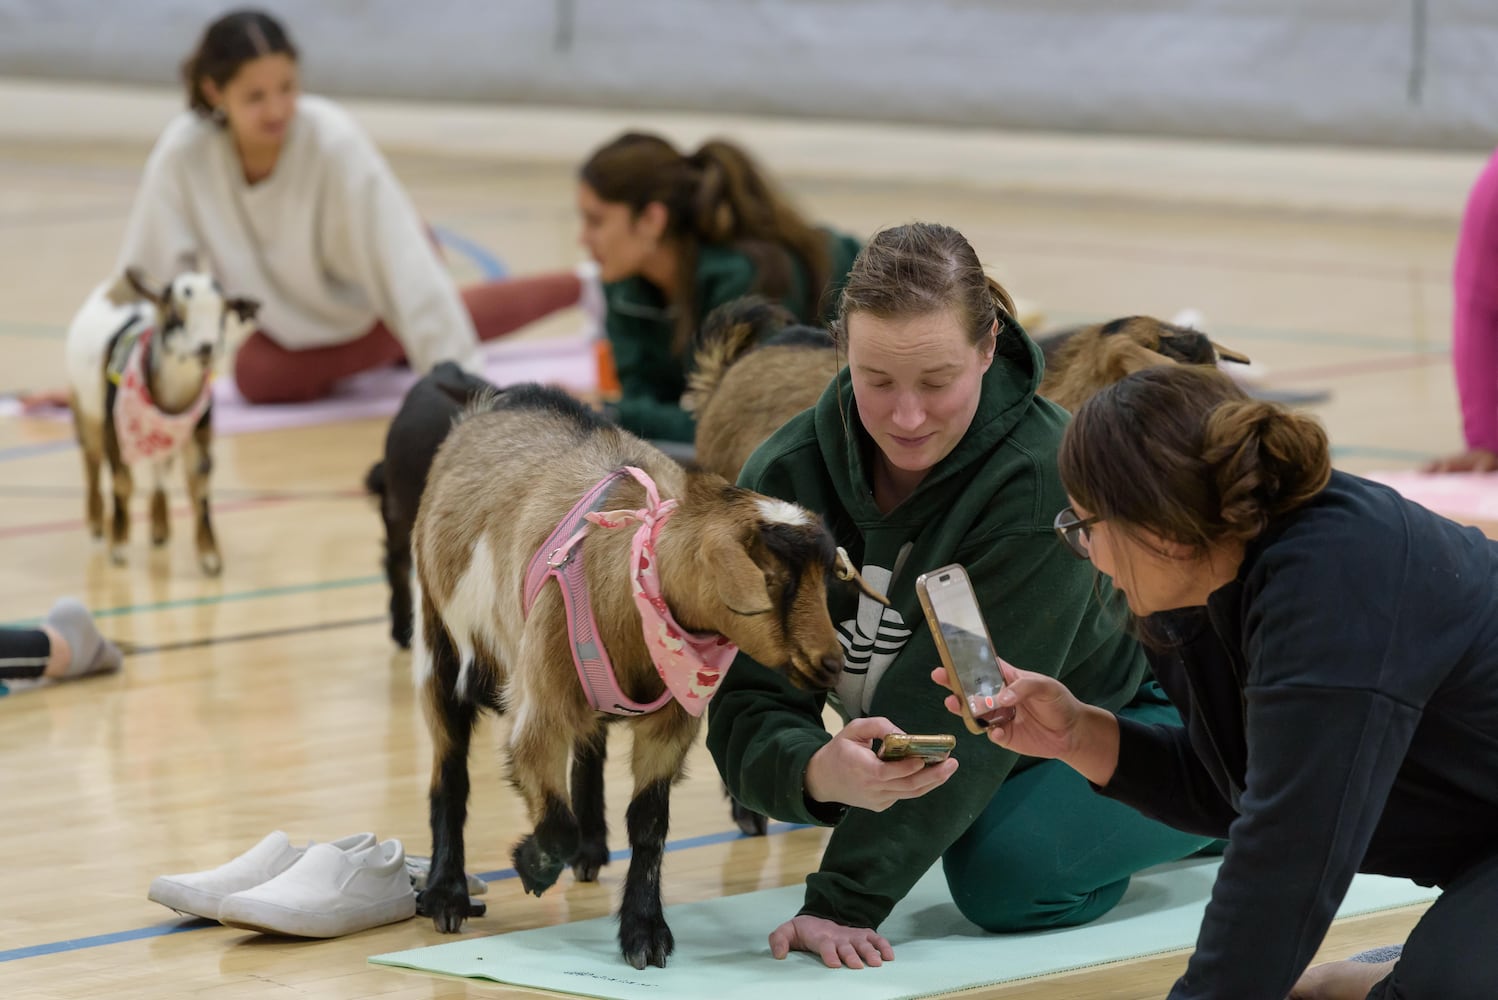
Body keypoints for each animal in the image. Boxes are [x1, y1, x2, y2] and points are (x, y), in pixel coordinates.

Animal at [416, 386, 850, 970]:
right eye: (774, 579)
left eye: (824, 577)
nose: (832, 662)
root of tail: (502, 401)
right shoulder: (539, 712)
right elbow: (554, 822)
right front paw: (531, 867)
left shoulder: (669, 725)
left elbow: (649, 824)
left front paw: (644, 930)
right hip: (441, 646)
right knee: (450, 775)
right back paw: (446, 895)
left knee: (590, 747)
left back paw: (592, 847)